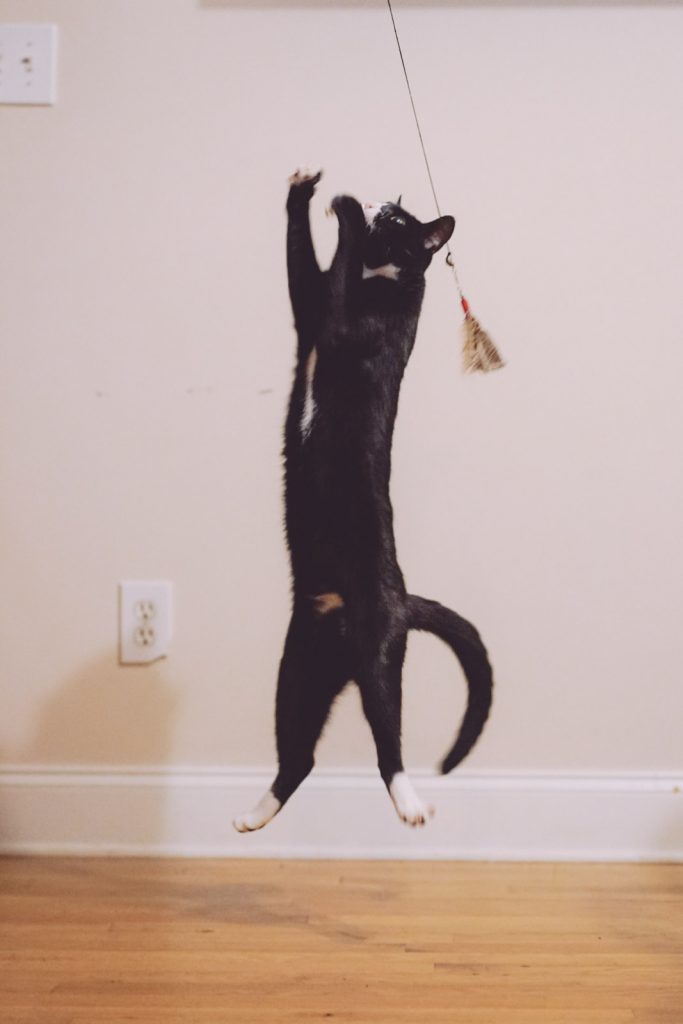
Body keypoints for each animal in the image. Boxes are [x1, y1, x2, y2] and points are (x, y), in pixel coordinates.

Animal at [235, 169, 491, 831]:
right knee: (298, 752)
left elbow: (337, 286)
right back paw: (255, 814)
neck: (379, 279)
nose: (378, 202)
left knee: (386, 735)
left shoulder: (357, 327)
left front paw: (345, 212)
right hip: (299, 665)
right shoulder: (309, 308)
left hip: (377, 650)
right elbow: (303, 270)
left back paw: (410, 802)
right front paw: (304, 188)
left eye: (399, 221)